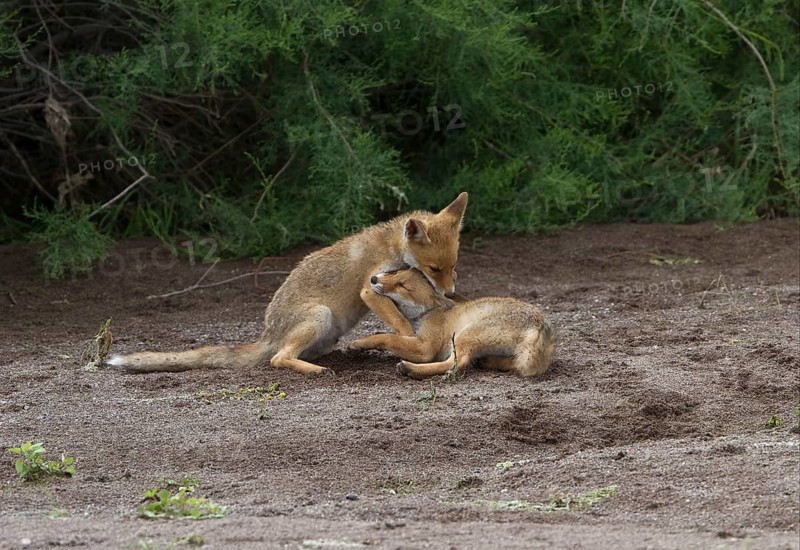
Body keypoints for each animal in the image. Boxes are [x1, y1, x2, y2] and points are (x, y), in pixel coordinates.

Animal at [107, 193, 468, 375]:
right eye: (434, 268)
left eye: (453, 267)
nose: (450, 293)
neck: (390, 247)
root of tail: (269, 332)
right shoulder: (371, 285)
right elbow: (402, 329)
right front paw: (403, 340)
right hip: (319, 316)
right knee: (277, 359)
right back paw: (314, 371)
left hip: (325, 332)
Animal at [348, 268, 556, 379]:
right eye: (394, 272)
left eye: (403, 286)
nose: (373, 278)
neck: (427, 313)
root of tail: (541, 322)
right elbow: (388, 336)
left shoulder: (425, 347)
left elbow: (386, 337)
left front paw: (359, 343)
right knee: (512, 365)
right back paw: (487, 361)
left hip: (463, 335)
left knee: (458, 363)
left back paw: (411, 369)